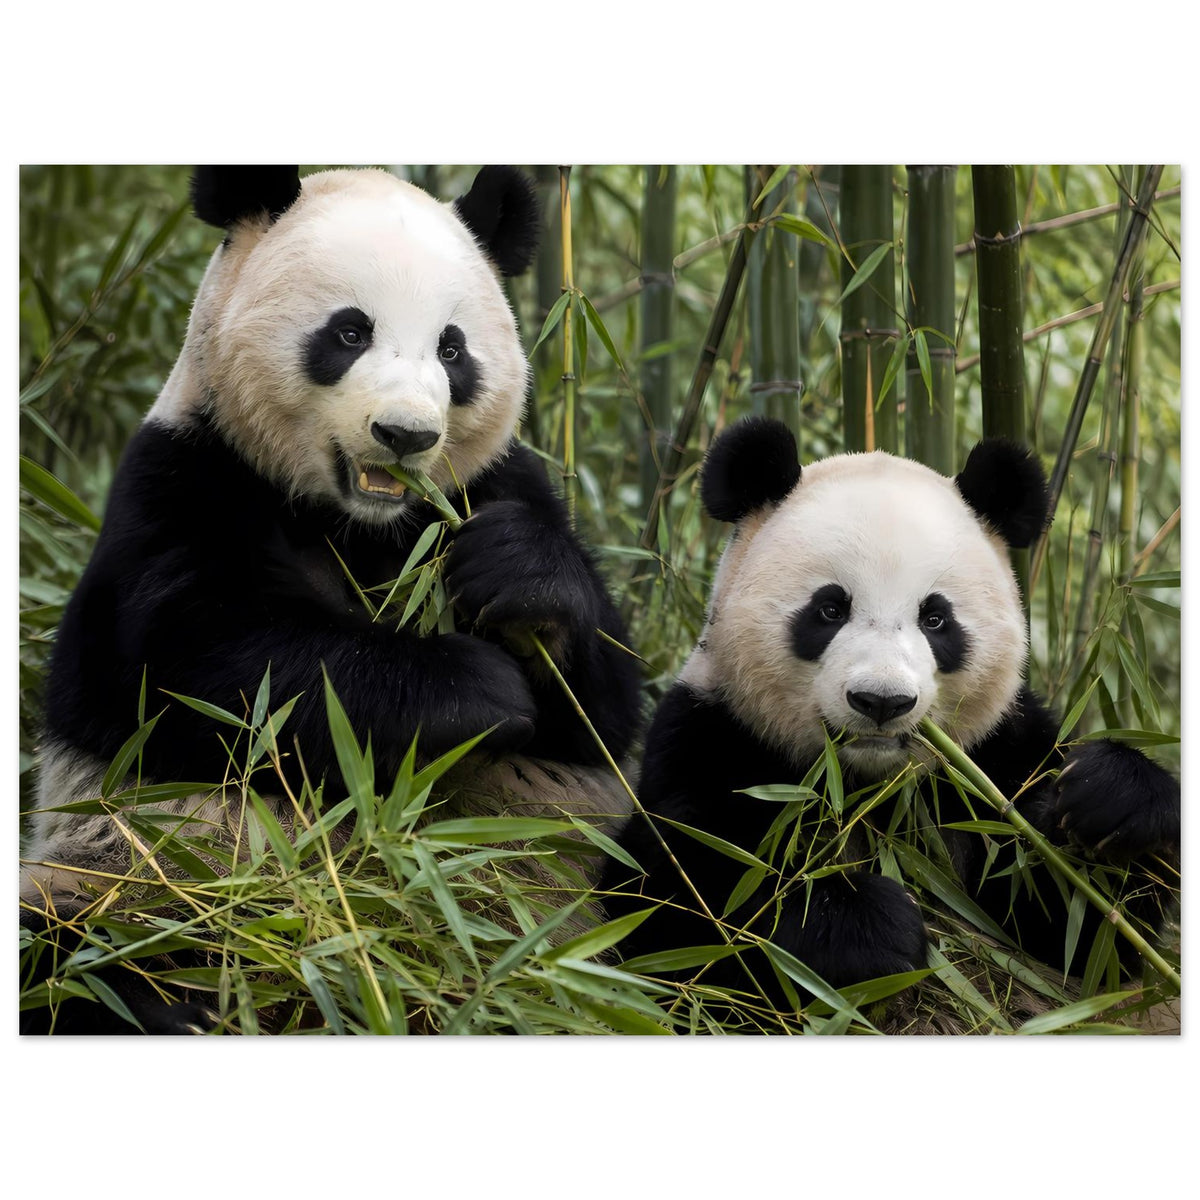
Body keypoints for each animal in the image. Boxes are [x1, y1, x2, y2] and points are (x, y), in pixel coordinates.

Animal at [21, 165, 641, 1034]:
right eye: (349, 334)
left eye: (453, 349)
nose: (406, 436)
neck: (359, 524)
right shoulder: (180, 483)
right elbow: (216, 670)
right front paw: (477, 689)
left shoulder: (491, 487)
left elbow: (603, 712)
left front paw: (520, 582)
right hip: (139, 880)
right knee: (81, 954)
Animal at [602, 416, 1179, 1026]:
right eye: (830, 609)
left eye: (936, 619)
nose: (881, 702)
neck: (867, 788)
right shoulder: (713, 737)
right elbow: (679, 908)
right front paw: (869, 928)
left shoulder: (993, 759)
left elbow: (1082, 933)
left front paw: (1110, 802)